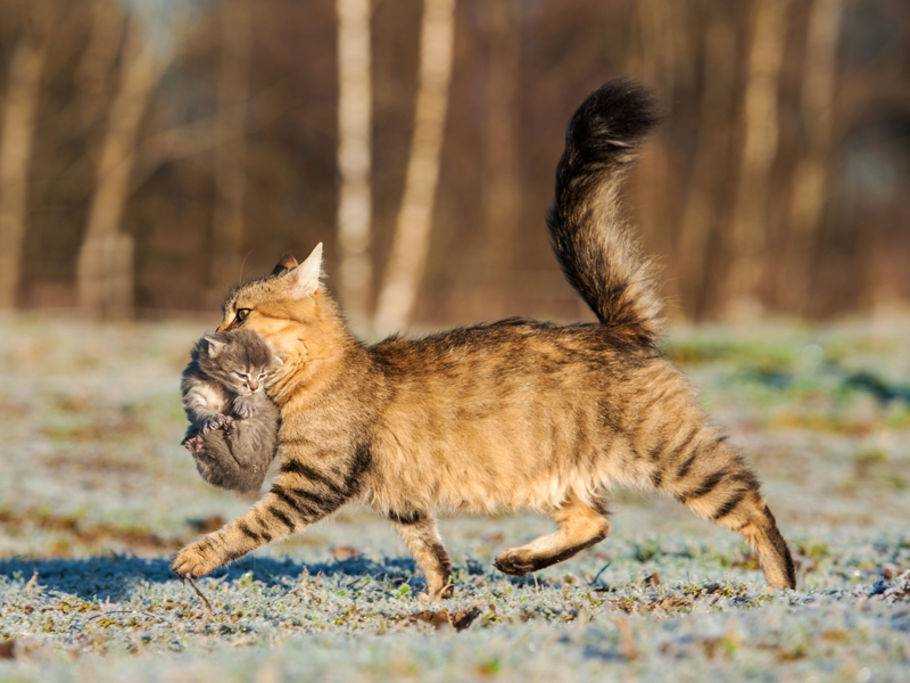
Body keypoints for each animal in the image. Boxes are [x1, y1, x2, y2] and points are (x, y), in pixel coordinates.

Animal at [181, 330, 282, 494]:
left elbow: (257, 396)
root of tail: (255, 480)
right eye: (242, 375)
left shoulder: (263, 397)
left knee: (248, 456)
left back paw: (233, 431)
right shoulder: (194, 391)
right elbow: (198, 410)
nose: (253, 387)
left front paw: (246, 401)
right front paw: (211, 418)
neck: (219, 384)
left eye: (262, 375)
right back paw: (197, 445)